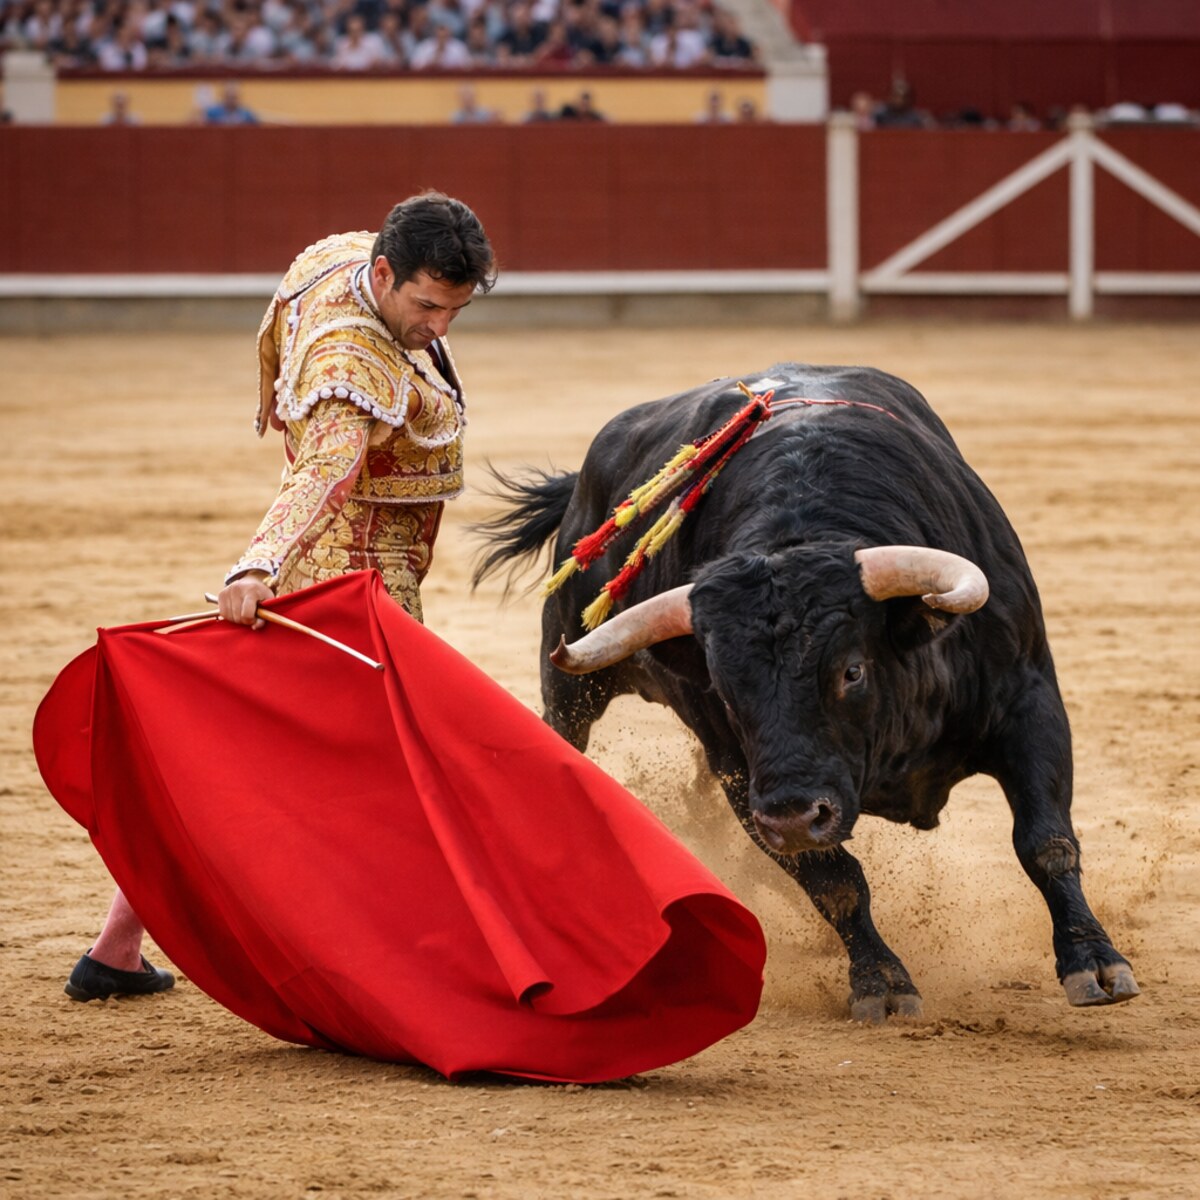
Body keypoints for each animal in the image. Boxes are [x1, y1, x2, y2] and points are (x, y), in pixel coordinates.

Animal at [473, 363, 1139, 1020]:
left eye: (852, 671)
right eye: (725, 687)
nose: (794, 814)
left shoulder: (1029, 701)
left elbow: (1045, 841)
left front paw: (1095, 963)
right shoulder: (744, 776)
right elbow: (834, 879)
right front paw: (881, 983)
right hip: (569, 685)